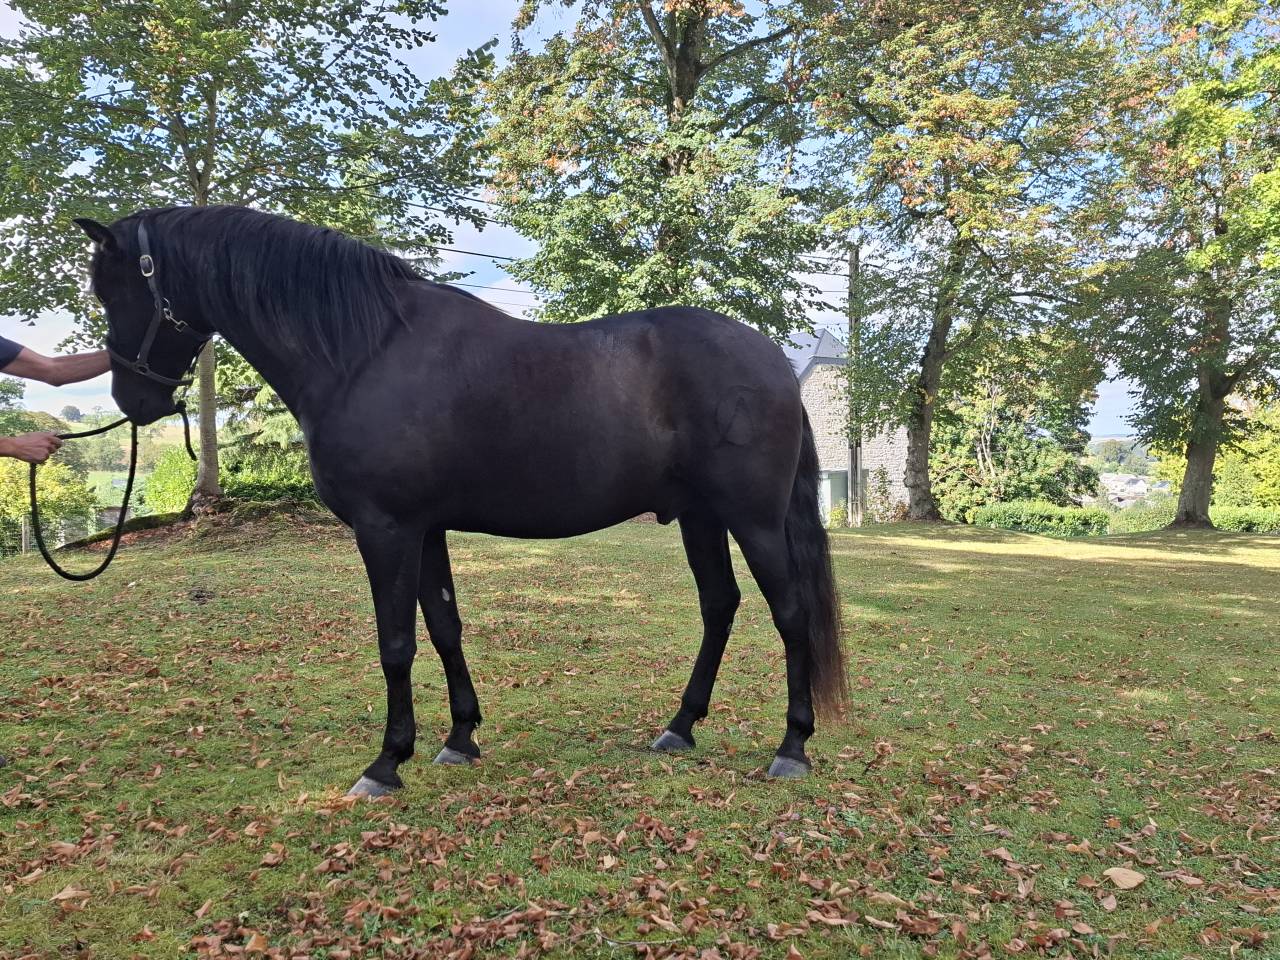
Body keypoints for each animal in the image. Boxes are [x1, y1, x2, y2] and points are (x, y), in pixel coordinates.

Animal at [73, 206, 847, 795]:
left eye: (116, 290)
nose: (132, 399)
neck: (362, 352)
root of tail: (775, 362)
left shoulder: (385, 529)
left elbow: (395, 643)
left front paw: (386, 763)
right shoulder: (425, 529)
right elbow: (444, 627)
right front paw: (460, 738)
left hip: (753, 519)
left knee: (789, 613)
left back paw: (791, 747)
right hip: (699, 517)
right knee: (720, 605)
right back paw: (679, 727)